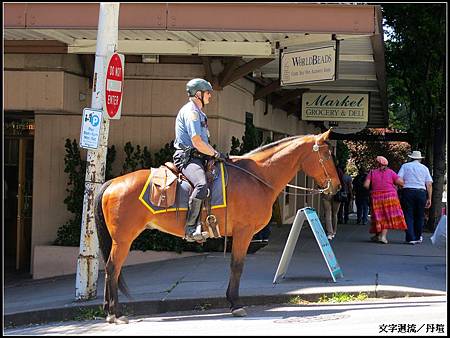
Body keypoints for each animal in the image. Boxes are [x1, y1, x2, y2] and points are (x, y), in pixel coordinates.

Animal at [96, 129, 342, 322]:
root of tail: (112, 182)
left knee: (111, 269)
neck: (256, 176)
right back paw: (115, 314)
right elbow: (237, 266)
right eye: (327, 154)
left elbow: (235, 267)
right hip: (123, 239)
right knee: (112, 268)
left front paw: (231, 301)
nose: (338, 186)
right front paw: (235, 304)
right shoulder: (243, 232)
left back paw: (109, 310)